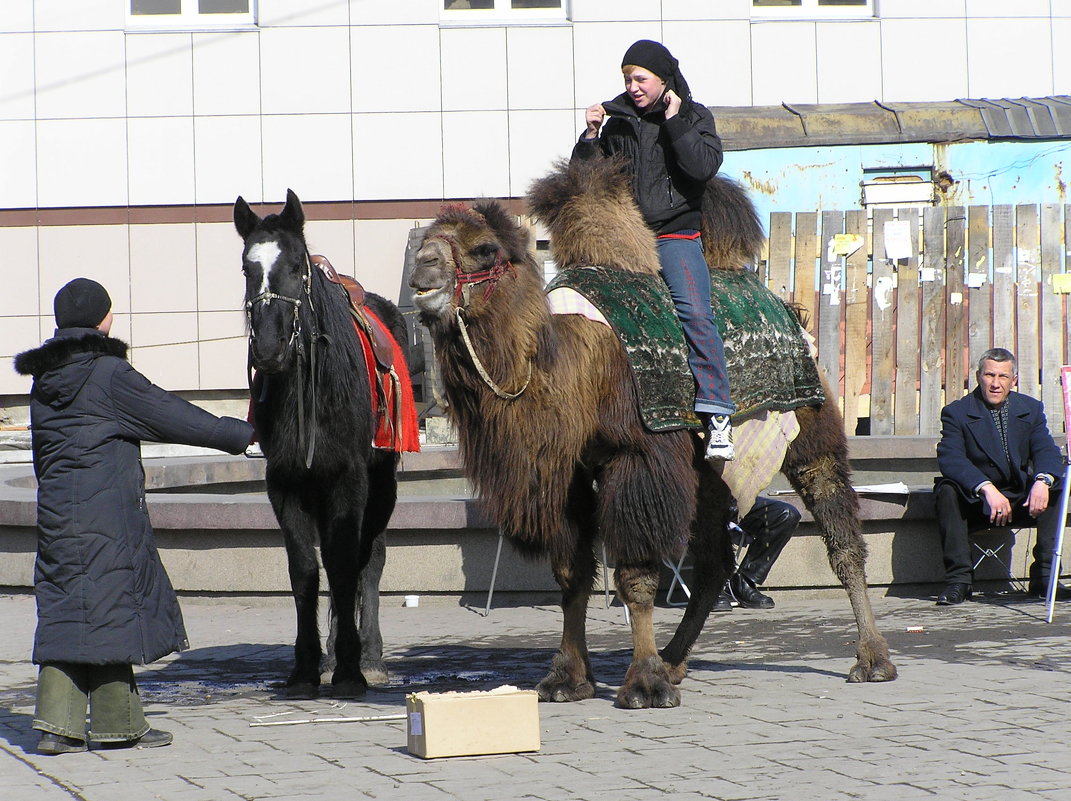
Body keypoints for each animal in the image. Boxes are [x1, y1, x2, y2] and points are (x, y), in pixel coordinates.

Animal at [234, 187, 417, 693]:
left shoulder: (348, 478)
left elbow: (344, 561)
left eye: (297, 265)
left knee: (369, 558)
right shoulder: (286, 483)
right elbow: (305, 569)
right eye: (247, 268)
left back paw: (368, 655)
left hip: (381, 483)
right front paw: (306, 665)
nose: (269, 348)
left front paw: (353, 666)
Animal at [409, 156, 895, 706]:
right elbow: (571, 576)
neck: (573, 368)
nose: (423, 267)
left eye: (485, 249)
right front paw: (568, 678)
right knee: (713, 564)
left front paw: (642, 683)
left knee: (840, 532)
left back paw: (872, 660)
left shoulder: (640, 456)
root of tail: (788, 309)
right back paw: (674, 660)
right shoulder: (569, 474)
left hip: (807, 421)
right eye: (428, 237)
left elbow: (635, 574)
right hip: (708, 470)